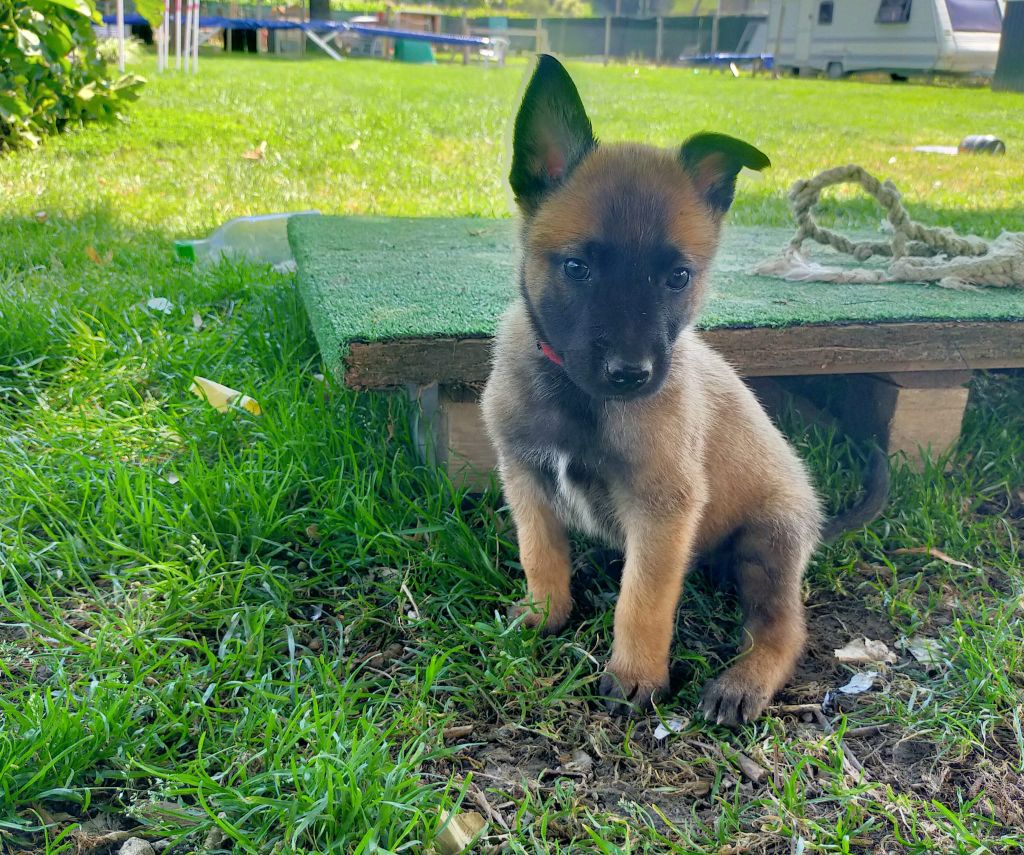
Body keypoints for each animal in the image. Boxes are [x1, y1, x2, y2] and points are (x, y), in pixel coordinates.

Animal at [481, 55, 887, 726]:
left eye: (678, 277)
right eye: (576, 268)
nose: (632, 374)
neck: (578, 398)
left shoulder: (662, 509)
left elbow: (641, 601)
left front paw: (635, 676)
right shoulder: (527, 479)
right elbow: (541, 556)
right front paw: (545, 615)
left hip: (768, 546)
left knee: (783, 631)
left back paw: (742, 682)